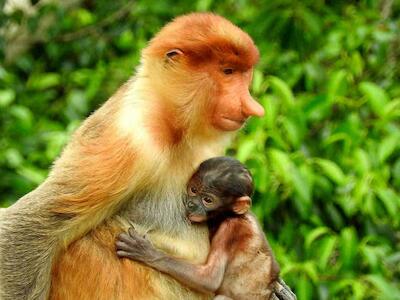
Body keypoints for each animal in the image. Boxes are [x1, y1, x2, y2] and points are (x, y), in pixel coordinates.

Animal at [117, 157, 286, 300]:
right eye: (193, 190)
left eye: (207, 200)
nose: (191, 204)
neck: (230, 215)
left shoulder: (229, 229)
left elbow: (210, 279)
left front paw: (147, 252)